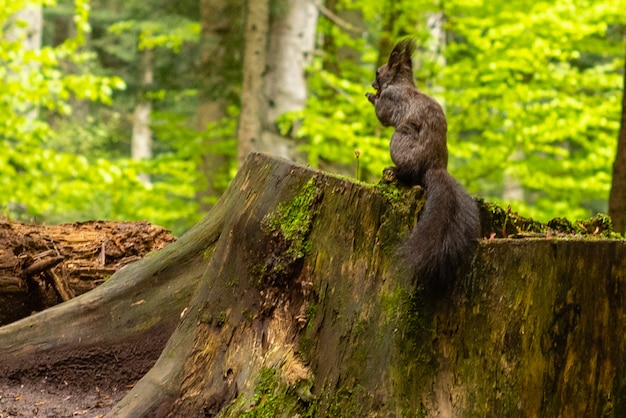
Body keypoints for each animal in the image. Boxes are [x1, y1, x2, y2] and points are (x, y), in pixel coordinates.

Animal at [364, 38, 480, 290]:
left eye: (378, 72)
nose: (372, 82)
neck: (401, 82)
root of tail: (433, 167)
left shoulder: (391, 99)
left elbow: (382, 112)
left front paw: (371, 96)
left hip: (399, 140)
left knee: (409, 173)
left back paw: (395, 170)